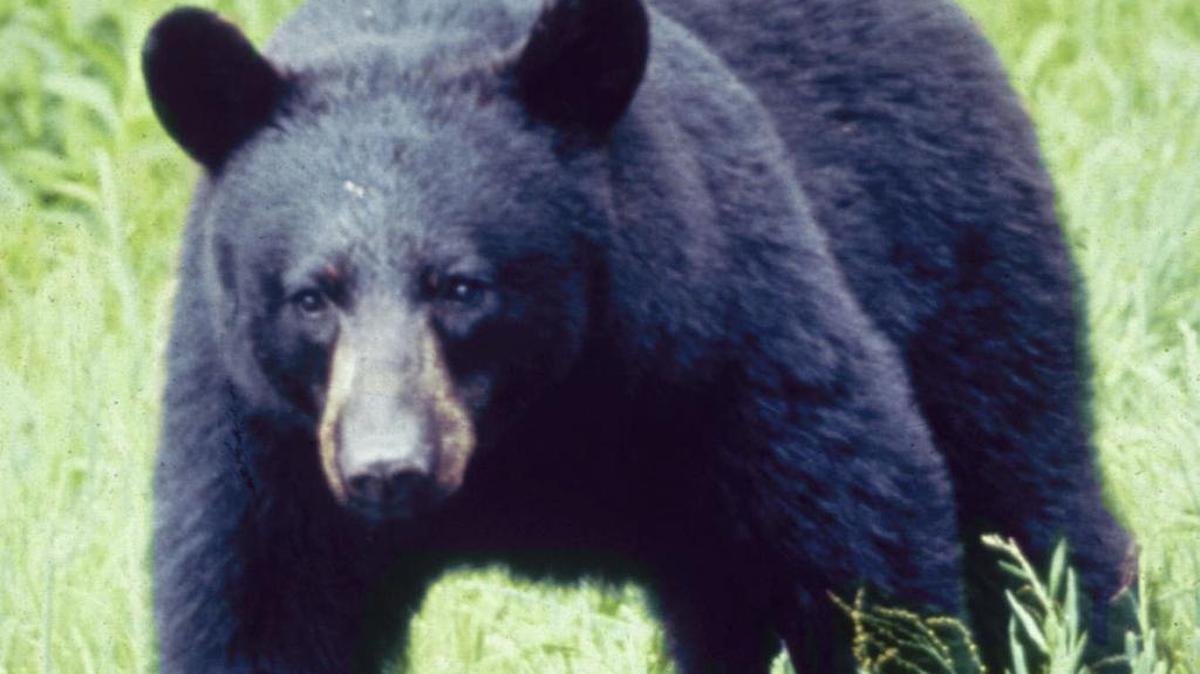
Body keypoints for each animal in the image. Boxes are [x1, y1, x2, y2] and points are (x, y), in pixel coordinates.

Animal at [143, 0, 1136, 672]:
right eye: (312, 297)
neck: (529, 436)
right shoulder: (265, 444)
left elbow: (858, 555)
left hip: (962, 255)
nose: (388, 469)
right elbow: (262, 614)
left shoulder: (726, 346)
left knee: (1028, 512)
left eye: (462, 286)